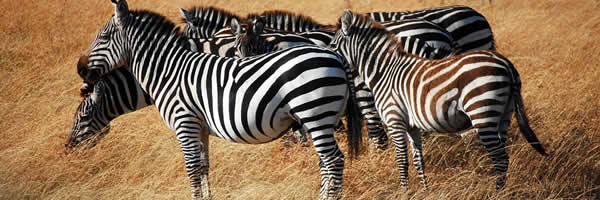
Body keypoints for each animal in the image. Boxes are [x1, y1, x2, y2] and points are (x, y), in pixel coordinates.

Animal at [70, 0, 360, 199]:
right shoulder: (200, 127)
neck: (168, 71)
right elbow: (204, 166)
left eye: (103, 37)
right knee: (326, 162)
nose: (80, 69)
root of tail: (336, 55)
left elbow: (191, 169)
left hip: (315, 113)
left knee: (334, 161)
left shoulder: (184, 123)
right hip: (317, 119)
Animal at [328, 10, 548, 190]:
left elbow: (401, 160)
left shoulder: (394, 120)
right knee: (504, 154)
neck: (384, 72)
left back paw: (496, 192)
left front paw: (404, 192)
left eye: (332, 45)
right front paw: (424, 191)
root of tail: (506, 64)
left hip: (482, 112)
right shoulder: (412, 126)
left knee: (500, 158)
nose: (328, 61)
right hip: (504, 114)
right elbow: (418, 160)